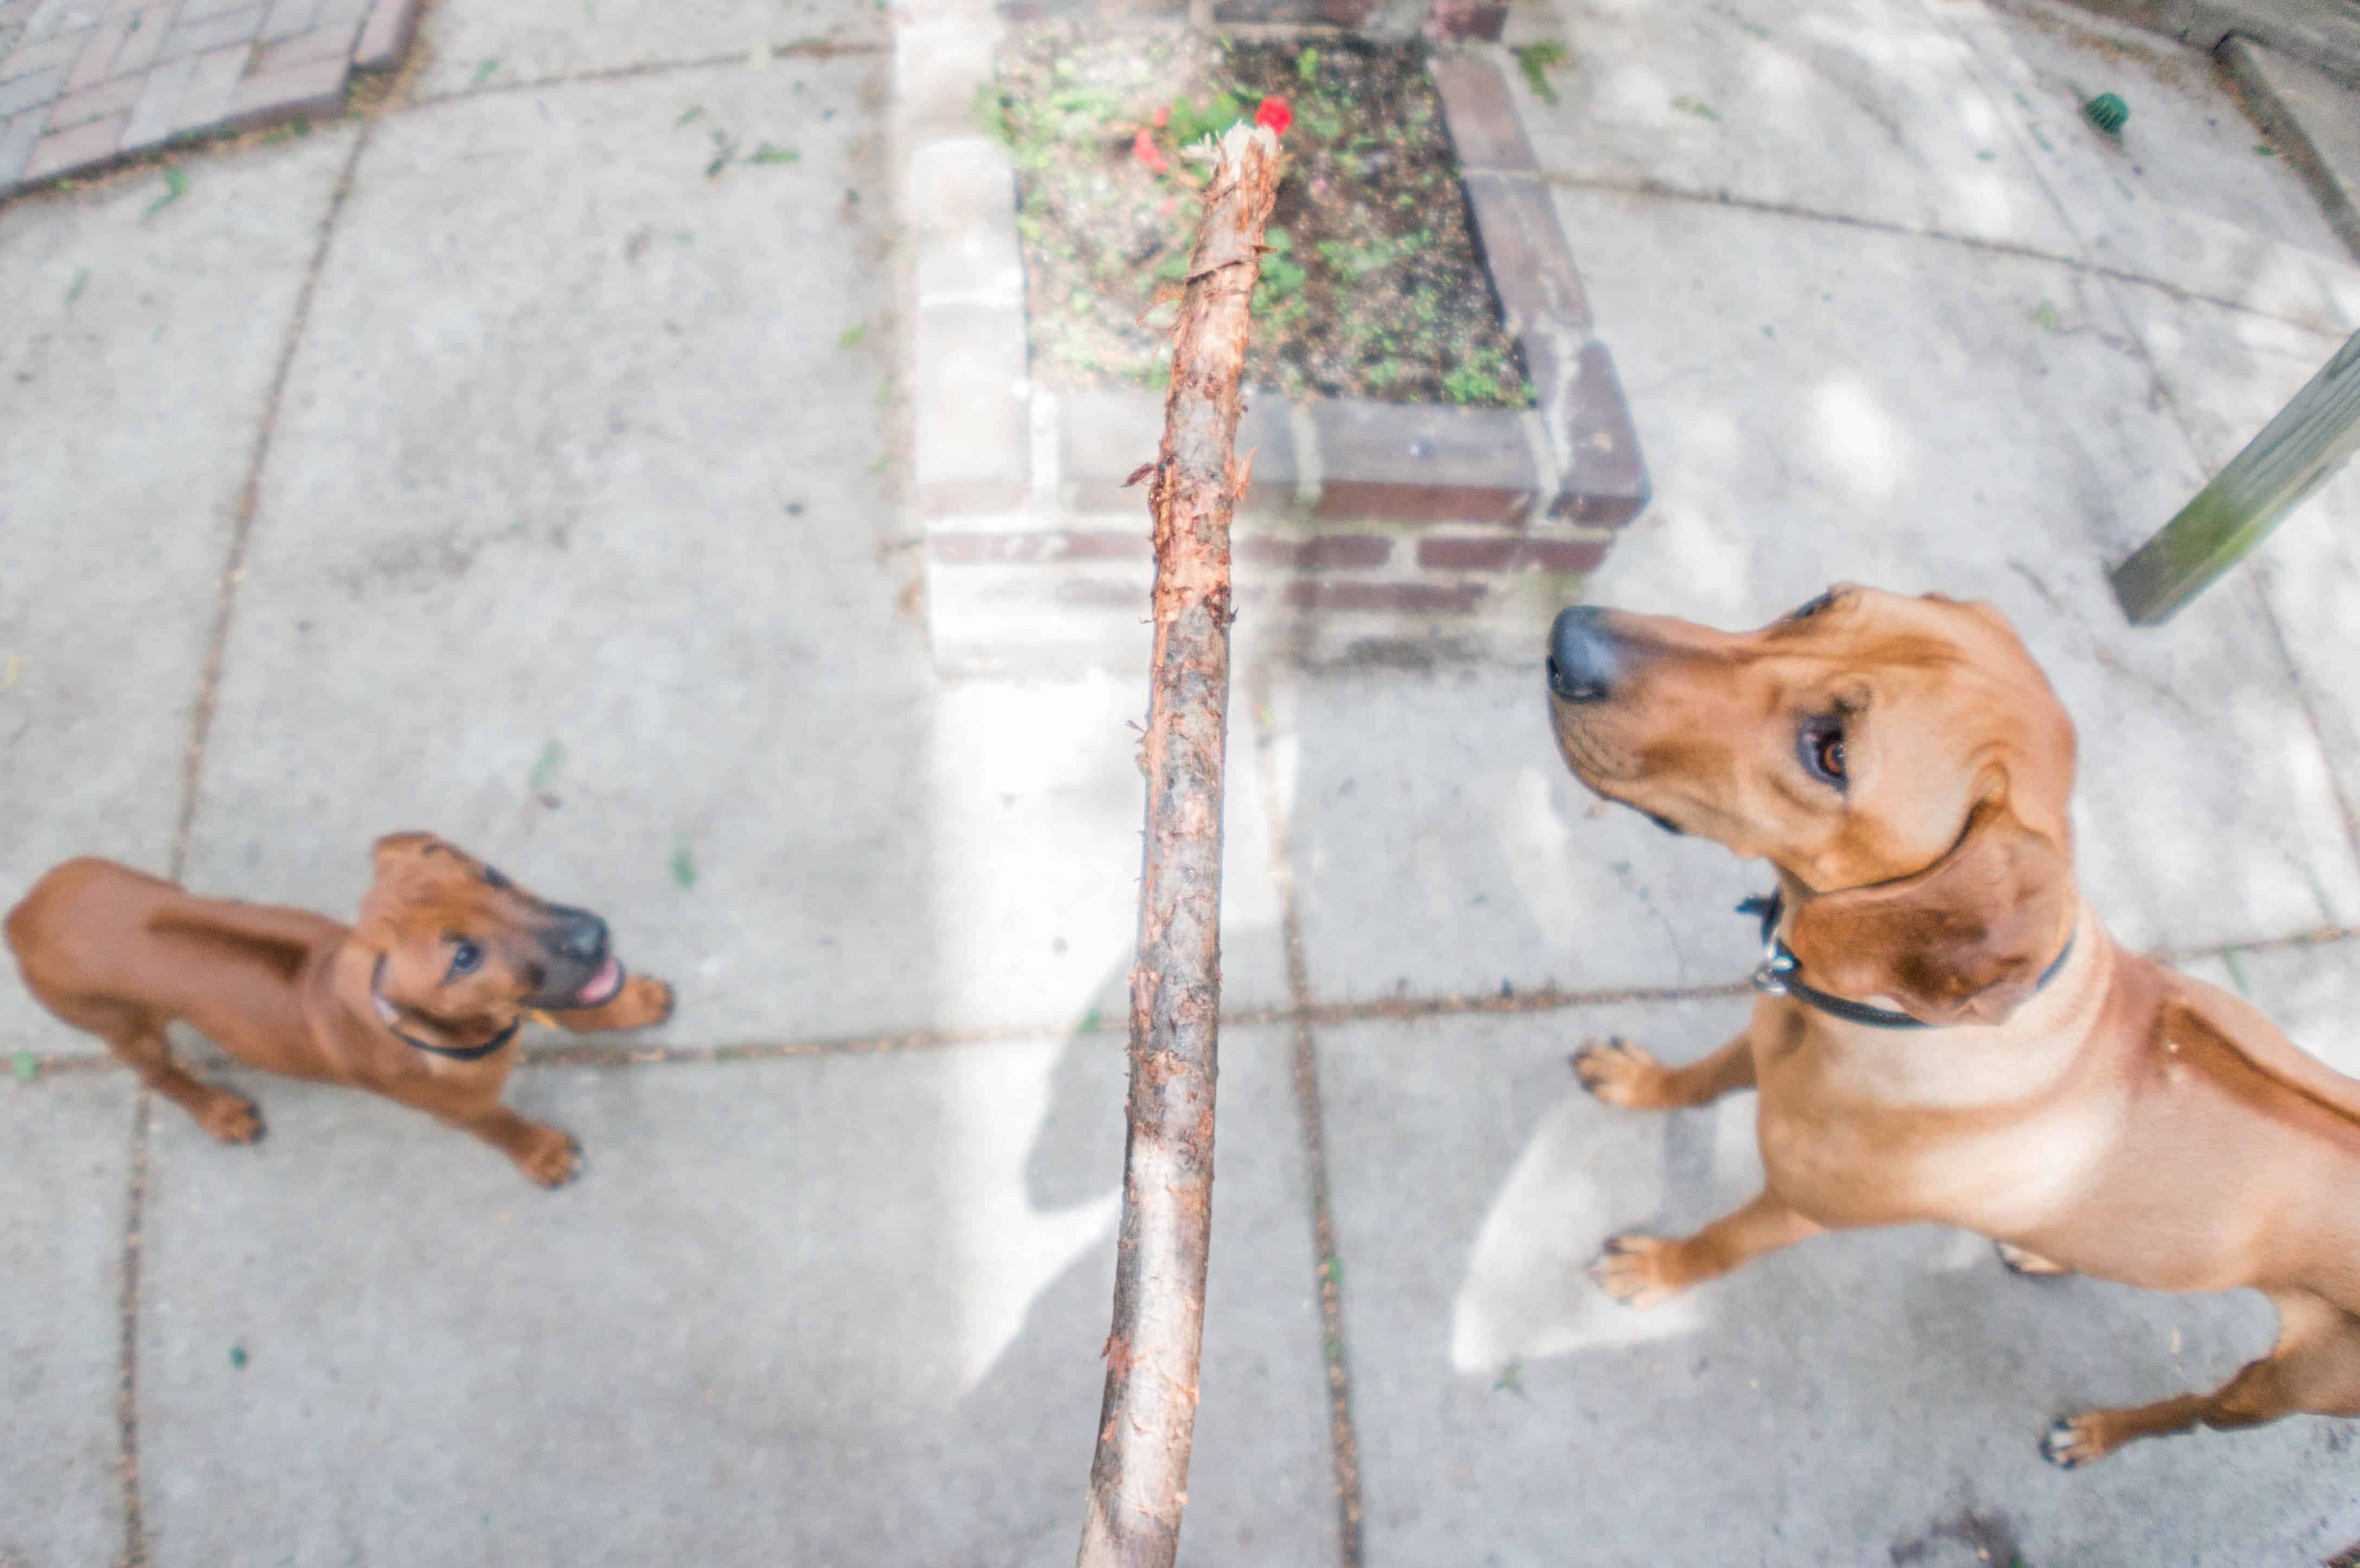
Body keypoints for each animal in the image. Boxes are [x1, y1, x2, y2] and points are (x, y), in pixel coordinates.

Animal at [7, 830, 675, 1188]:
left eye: (490, 874)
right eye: (463, 957)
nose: (594, 936)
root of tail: (21, 913)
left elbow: (576, 1004)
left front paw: (629, 1003)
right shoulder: (460, 1110)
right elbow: (500, 1124)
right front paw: (540, 1153)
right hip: (122, 1025)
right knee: (159, 1075)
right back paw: (218, 1111)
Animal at [1548, 587, 2360, 1471]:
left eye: (1831, 754)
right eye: (1816, 604)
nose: (1568, 637)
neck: (1890, 1022)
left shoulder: (1799, 1209)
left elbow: (1722, 1243)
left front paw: (1662, 1268)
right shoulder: (1770, 1033)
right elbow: (1698, 1079)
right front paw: (1639, 1083)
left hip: (2281, 1387)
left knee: (2191, 1412)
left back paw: (2095, 1435)